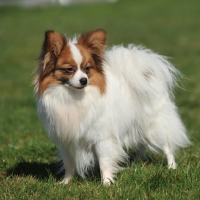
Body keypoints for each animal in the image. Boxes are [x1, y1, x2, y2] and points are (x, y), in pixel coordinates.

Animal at [33, 28, 190, 185]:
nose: (84, 80)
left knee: (167, 146)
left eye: (87, 68)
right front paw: (65, 182)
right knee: (141, 145)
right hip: (137, 125)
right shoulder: (66, 140)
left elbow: (104, 162)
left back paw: (171, 167)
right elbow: (69, 164)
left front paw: (107, 183)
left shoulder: (102, 138)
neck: (73, 97)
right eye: (69, 70)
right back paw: (137, 163)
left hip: (154, 126)